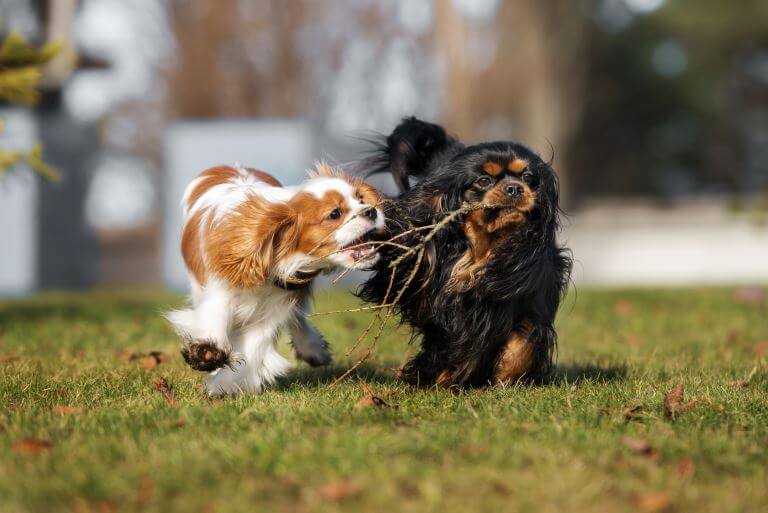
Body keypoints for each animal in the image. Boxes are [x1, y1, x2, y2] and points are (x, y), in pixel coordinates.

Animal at [168, 162, 384, 394]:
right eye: (335, 214)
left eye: (360, 200)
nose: (371, 210)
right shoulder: (219, 290)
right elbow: (214, 317)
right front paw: (208, 352)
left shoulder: (275, 307)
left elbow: (254, 346)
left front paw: (223, 385)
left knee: (297, 318)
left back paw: (312, 348)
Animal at [358, 116, 568, 386]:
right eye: (483, 181)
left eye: (527, 176)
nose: (514, 187)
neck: (483, 248)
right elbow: (453, 342)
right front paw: (441, 376)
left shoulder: (531, 296)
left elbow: (524, 340)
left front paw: (506, 375)